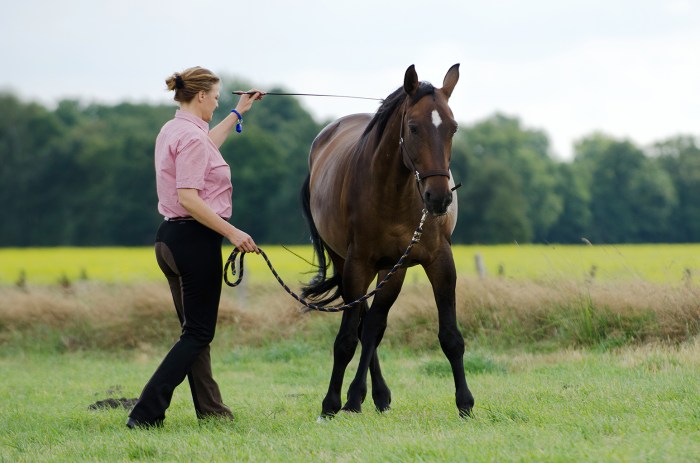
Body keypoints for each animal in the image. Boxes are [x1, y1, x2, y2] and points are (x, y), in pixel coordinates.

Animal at [300, 63, 476, 418]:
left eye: (453, 128)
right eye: (413, 127)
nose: (439, 198)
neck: (393, 192)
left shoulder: (436, 262)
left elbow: (449, 335)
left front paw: (464, 402)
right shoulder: (357, 264)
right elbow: (346, 340)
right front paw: (333, 402)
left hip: (390, 270)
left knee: (372, 326)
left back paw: (376, 395)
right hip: (347, 263)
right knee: (360, 323)